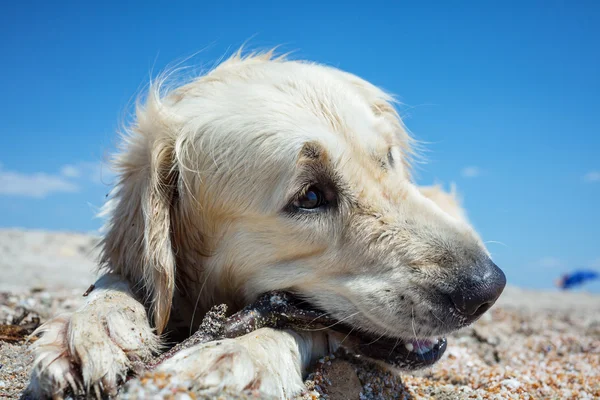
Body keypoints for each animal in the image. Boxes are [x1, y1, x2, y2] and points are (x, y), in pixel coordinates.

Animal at [28, 51, 506, 398]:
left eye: (387, 159)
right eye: (309, 196)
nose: (487, 288)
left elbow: (292, 322)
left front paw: (236, 357)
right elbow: (118, 278)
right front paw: (92, 327)